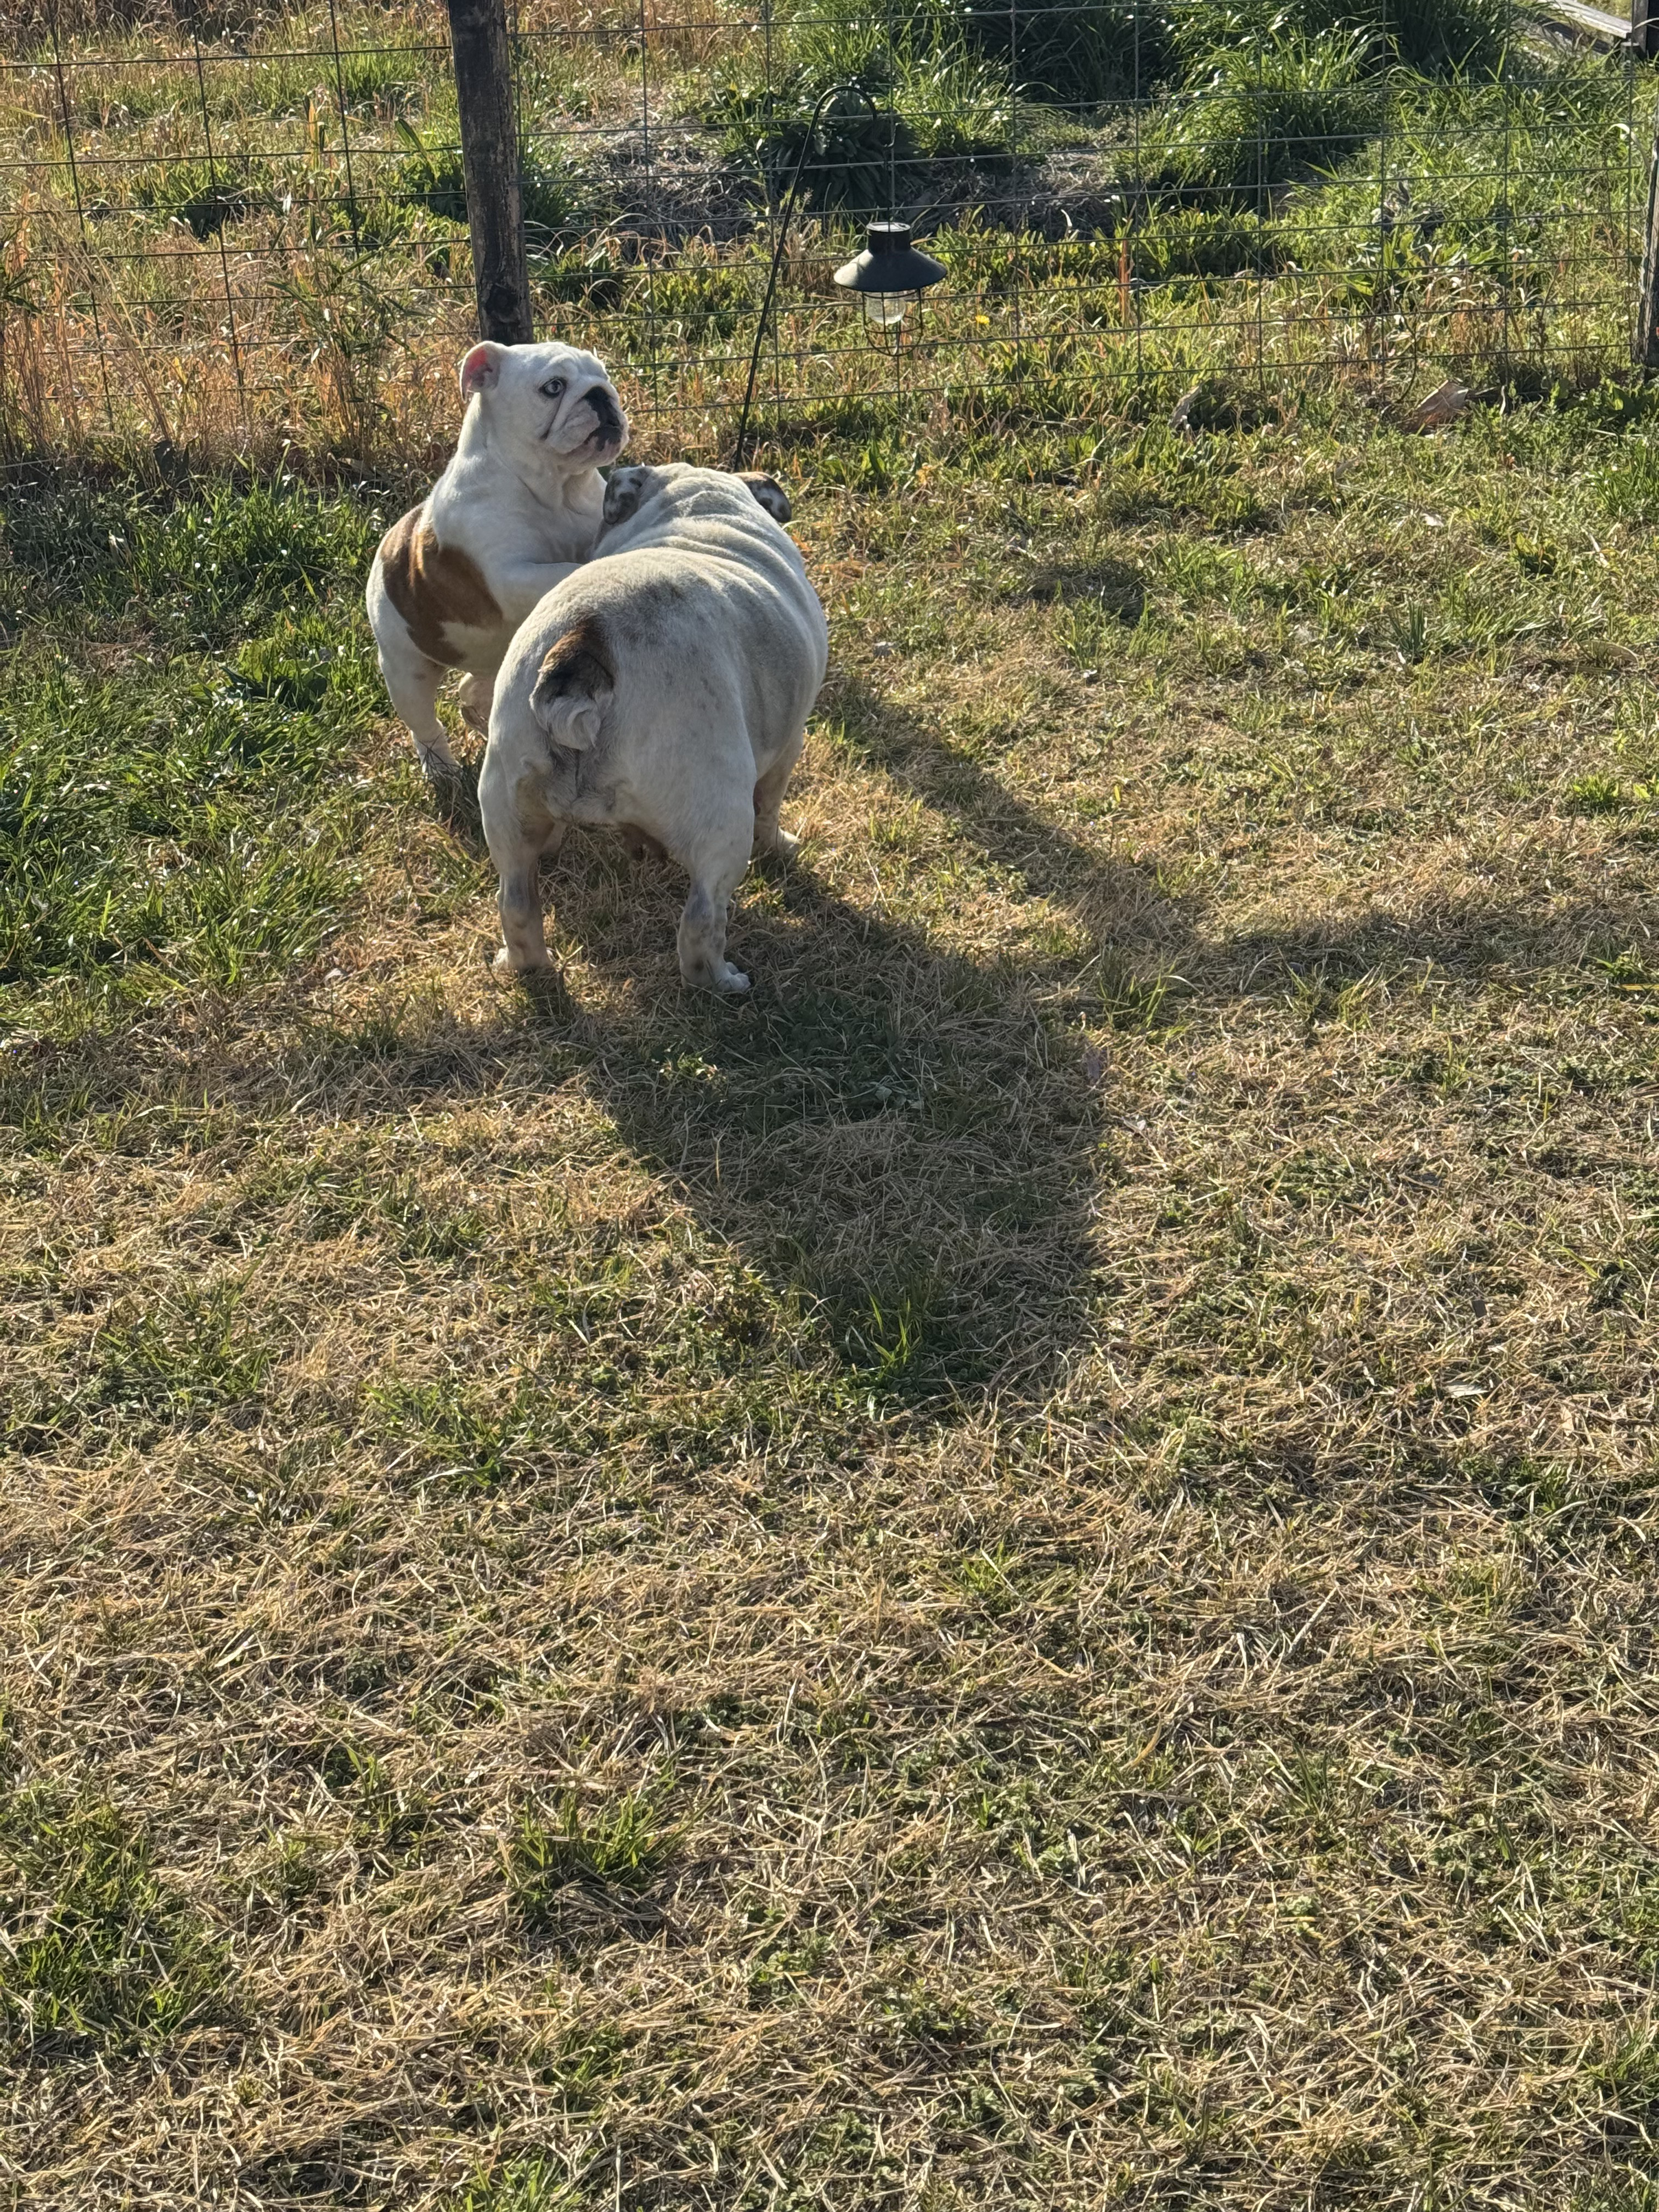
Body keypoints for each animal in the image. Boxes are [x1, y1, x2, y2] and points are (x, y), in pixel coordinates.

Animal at [365, 339, 629, 778]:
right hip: (406, 671)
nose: (601, 394)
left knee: (473, 689)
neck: (558, 489)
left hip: (491, 660)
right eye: (554, 387)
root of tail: (387, 548)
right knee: (424, 724)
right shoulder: (511, 576)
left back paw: (479, 717)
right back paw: (442, 769)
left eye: (603, 375)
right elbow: (567, 570)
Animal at [480, 461, 828, 993]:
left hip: (506, 803)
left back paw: (523, 964)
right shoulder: (789, 745)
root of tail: (586, 643)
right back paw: (724, 983)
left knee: (516, 904)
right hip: (721, 820)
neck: (700, 513)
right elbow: (770, 808)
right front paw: (781, 847)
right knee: (701, 927)